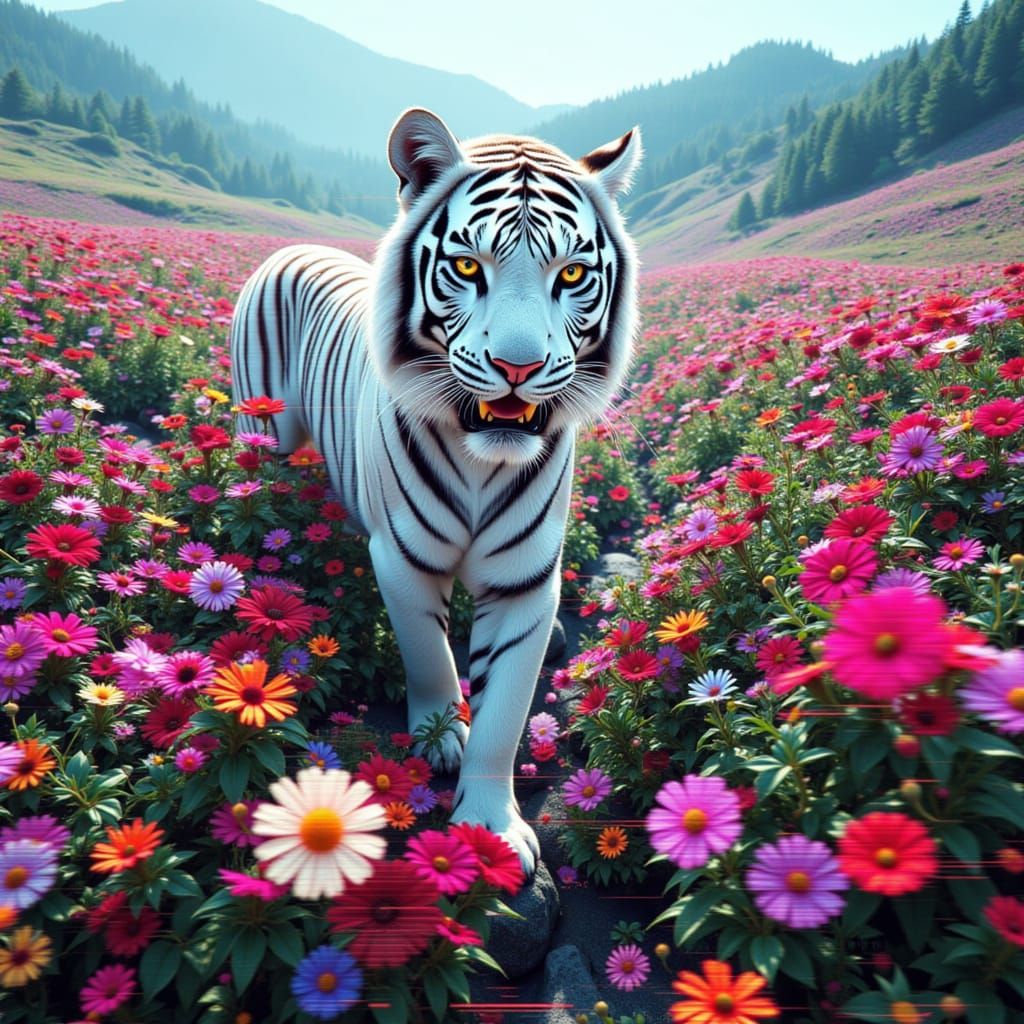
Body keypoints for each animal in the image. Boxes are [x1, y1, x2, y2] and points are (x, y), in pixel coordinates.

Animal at [230, 108, 641, 873]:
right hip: (259, 431)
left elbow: (506, 711)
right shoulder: (402, 558)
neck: (485, 461)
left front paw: (489, 827)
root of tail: (296, 244)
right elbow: (427, 653)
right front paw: (440, 735)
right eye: (467, 267)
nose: (517, 367)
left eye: (571, 273)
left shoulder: (526, 583)